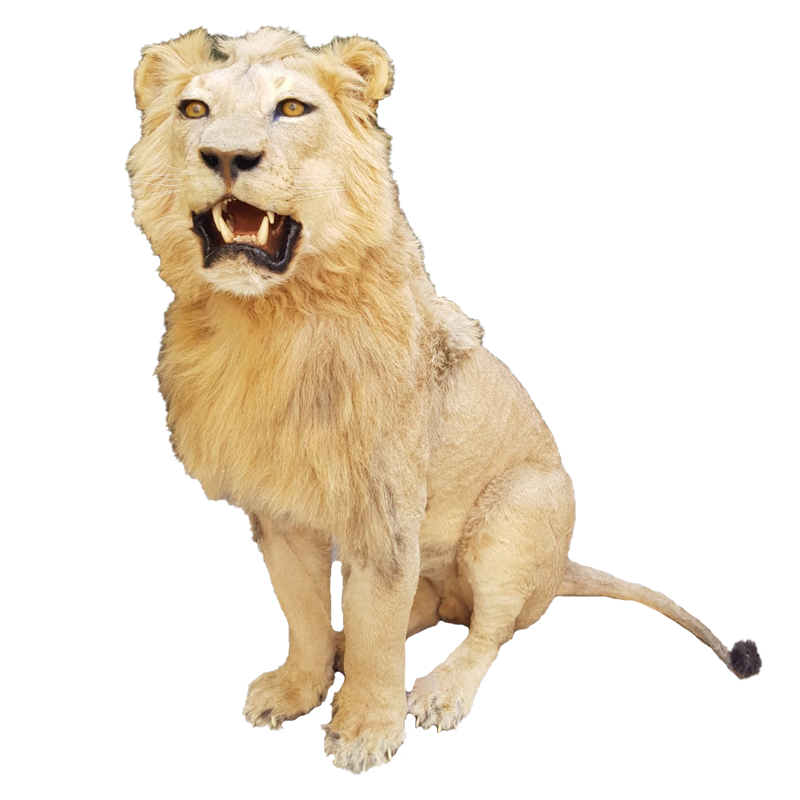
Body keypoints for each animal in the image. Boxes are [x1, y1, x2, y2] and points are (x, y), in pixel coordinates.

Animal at [127, 26, 761, 772]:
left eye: (292, 108)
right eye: (194, 110)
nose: (227, 155)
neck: (270, 323)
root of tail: (559, 568)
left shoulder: (385, 514)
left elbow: (379, 635)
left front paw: (364, 731)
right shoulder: (278, 511)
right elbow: (308, 614)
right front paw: (302, 687)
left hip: (518, 510)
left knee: (490, 628)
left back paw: (439, 689)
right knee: (415, 616)